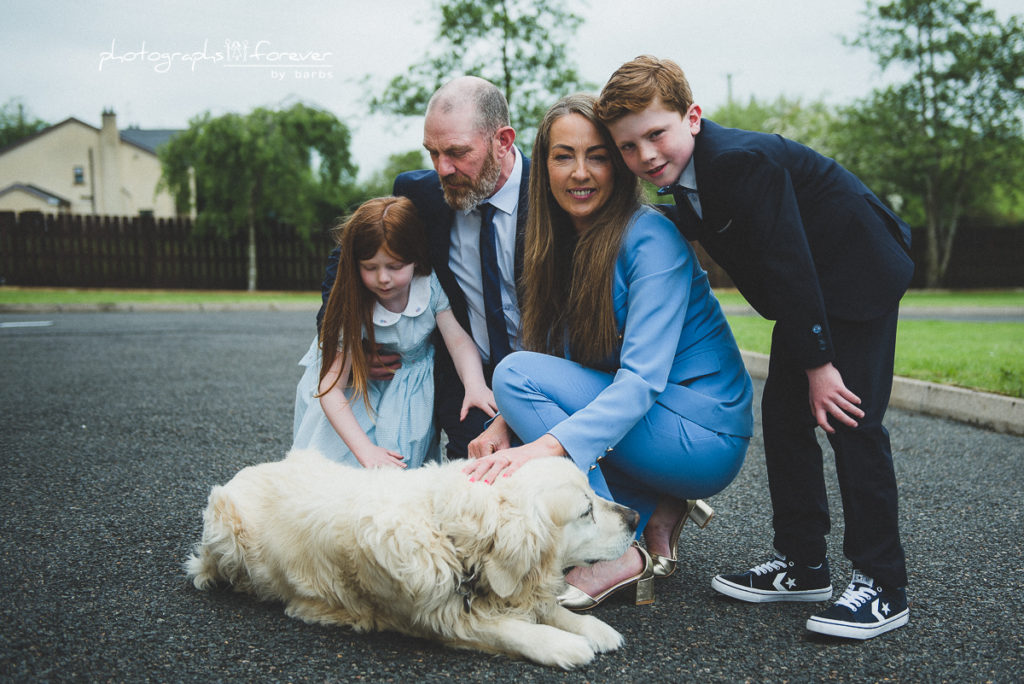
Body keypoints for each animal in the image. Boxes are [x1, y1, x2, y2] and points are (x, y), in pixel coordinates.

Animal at [180, 448, 634, 667]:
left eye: (593, 496)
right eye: (586, 511)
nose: (633, 516)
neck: (448, 534)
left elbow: (544, 607)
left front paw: (591, 628)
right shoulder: (436, 617)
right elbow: (509, 629)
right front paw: (562, 645)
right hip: (226, 533)